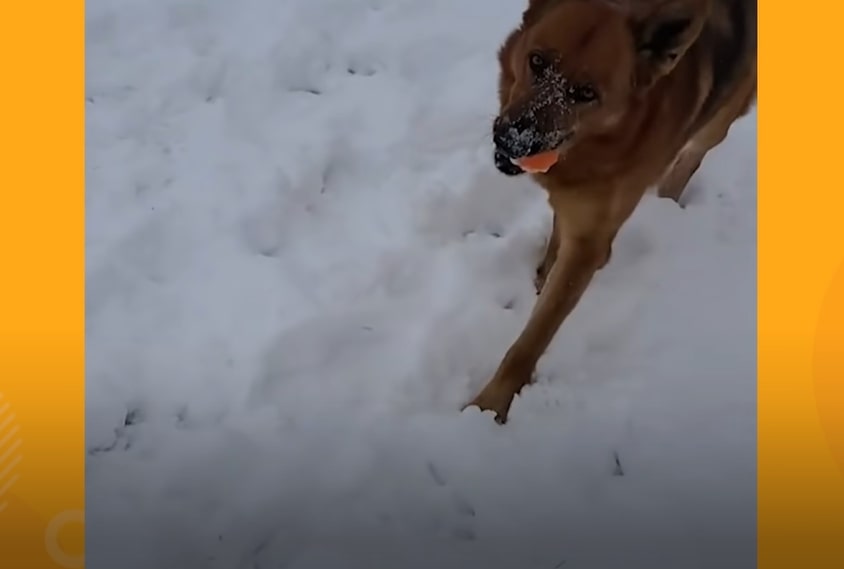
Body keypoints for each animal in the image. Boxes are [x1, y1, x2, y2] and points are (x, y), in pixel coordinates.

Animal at [464, 0, 756, 422]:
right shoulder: (577, 212)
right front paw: (544, 273)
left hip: (717, 123)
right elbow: (558, 238)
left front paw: (490, 407)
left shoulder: (588, 247)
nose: (513, 140)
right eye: (536, 61)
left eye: (586, 93)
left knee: (691, 158)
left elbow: (532, 339)